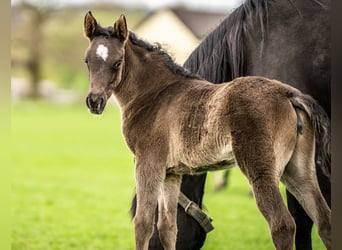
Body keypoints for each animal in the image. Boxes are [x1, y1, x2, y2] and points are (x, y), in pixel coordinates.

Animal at [83, 12, 332, 249]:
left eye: (118, 62)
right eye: (87, 61)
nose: (95, 102)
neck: (156, 94)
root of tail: (288, 94)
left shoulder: (148, 163)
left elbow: (143, 224)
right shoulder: (171, 173)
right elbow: (167, 227)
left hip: (261, 169)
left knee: (283, 225)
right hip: (298, 169)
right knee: (324, 220)